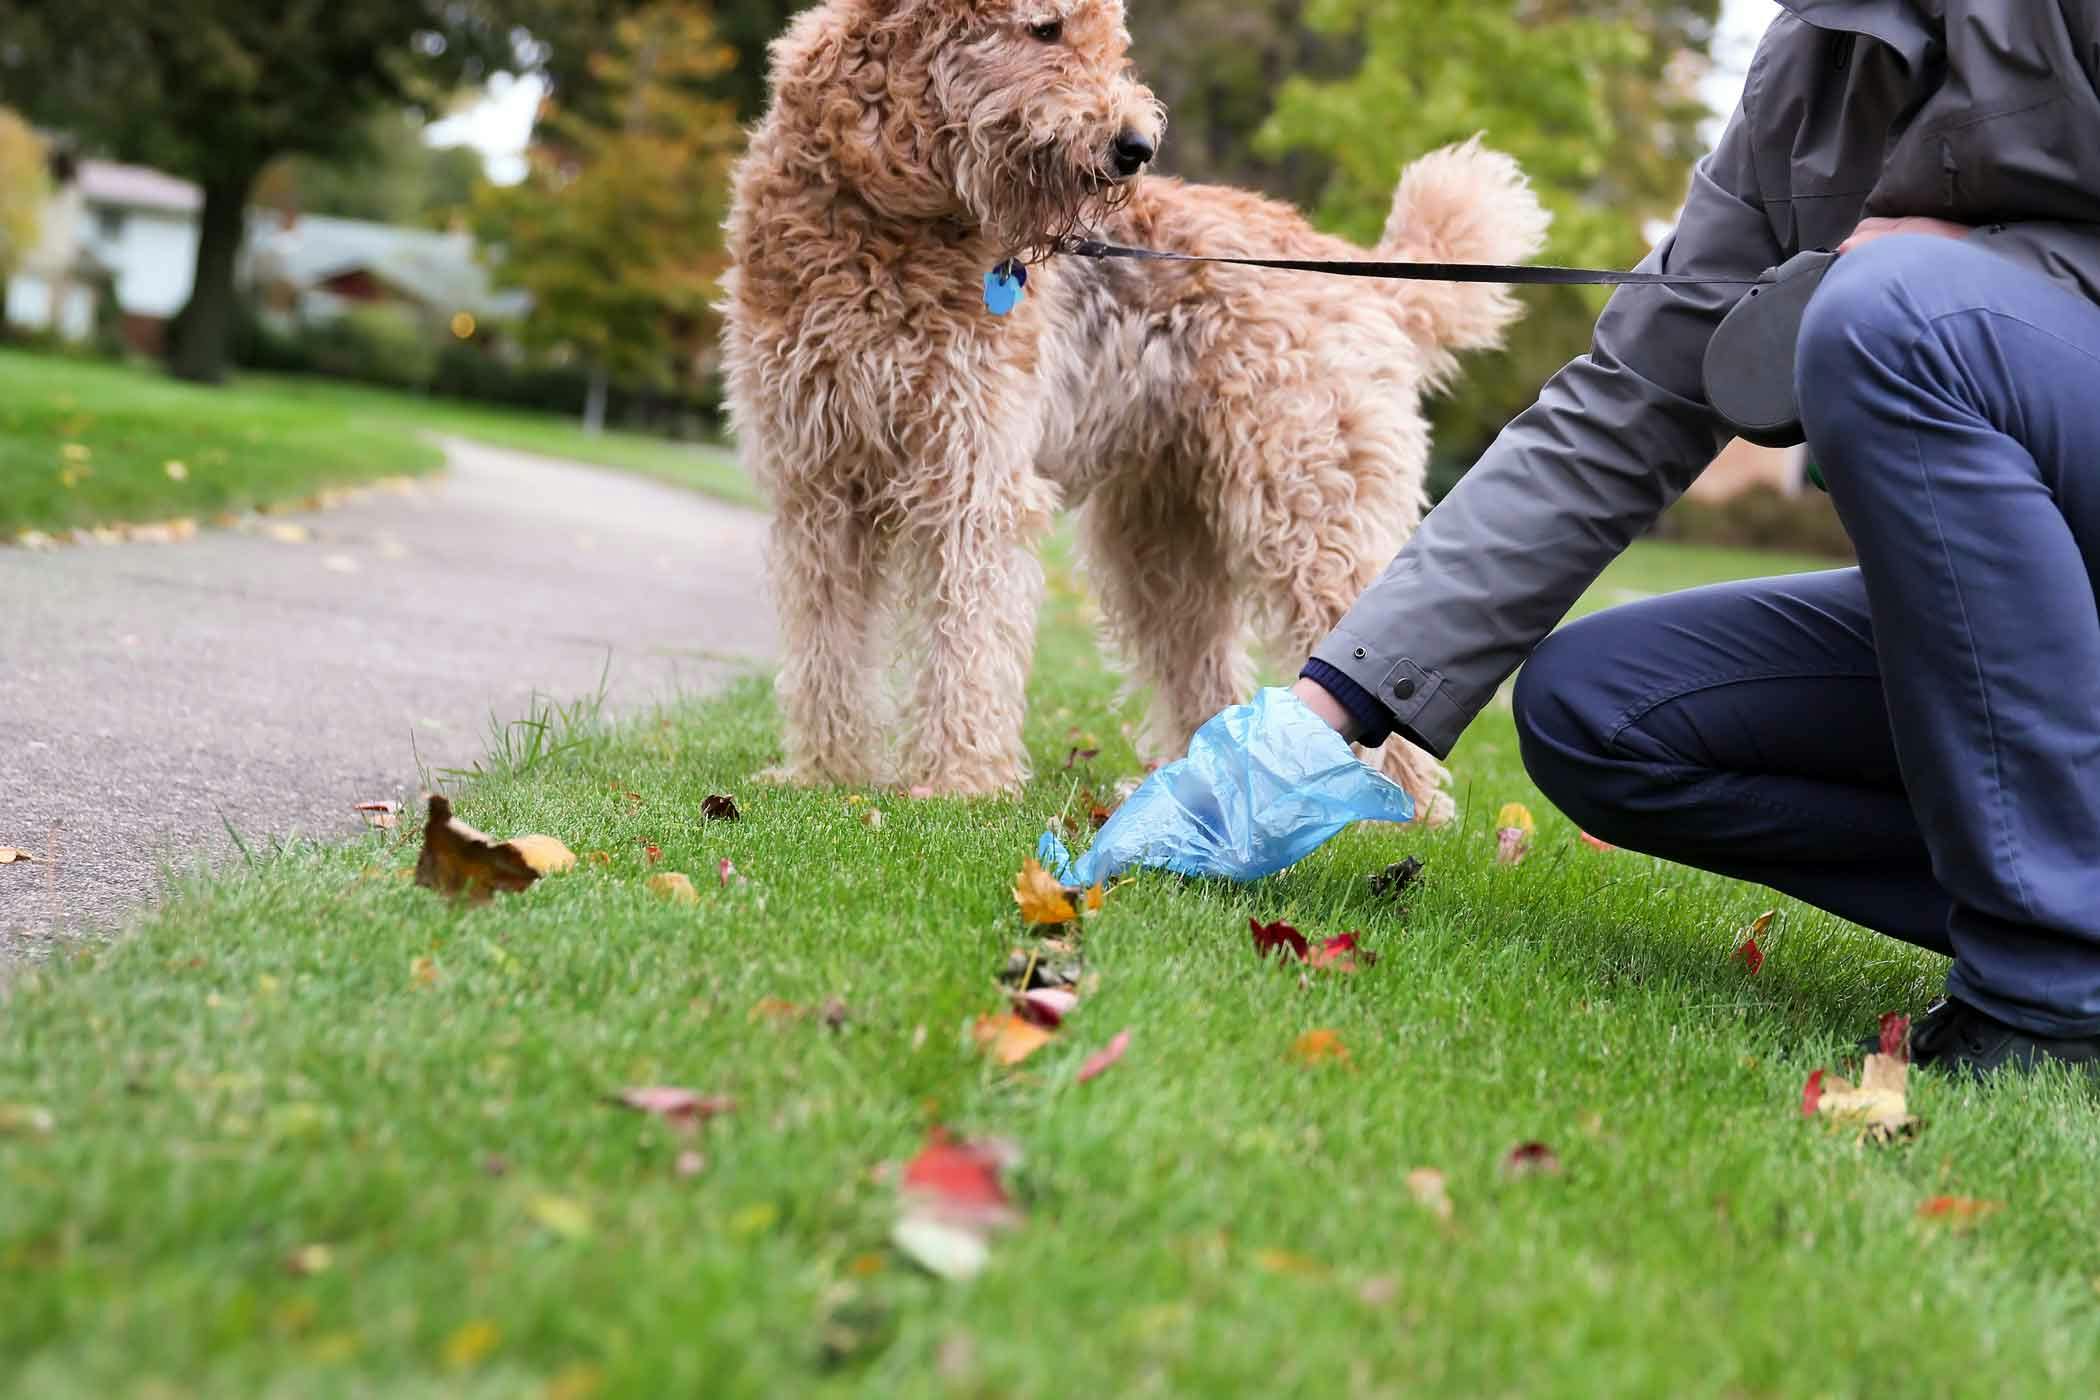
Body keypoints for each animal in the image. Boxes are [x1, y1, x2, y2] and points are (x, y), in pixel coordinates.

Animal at [722, 0, 1545, 814]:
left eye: (1111, 41)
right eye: (1046, 29)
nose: (1136, 146)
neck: (883, 212)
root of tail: (1367, 275)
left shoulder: (974, 477)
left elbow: (968, 639)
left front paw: (958, 781)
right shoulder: (818, 482)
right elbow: (827, 641)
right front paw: (825, 772)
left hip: (1306, 500)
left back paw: (1396, 808)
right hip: (1162, 537)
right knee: (1205, 666)